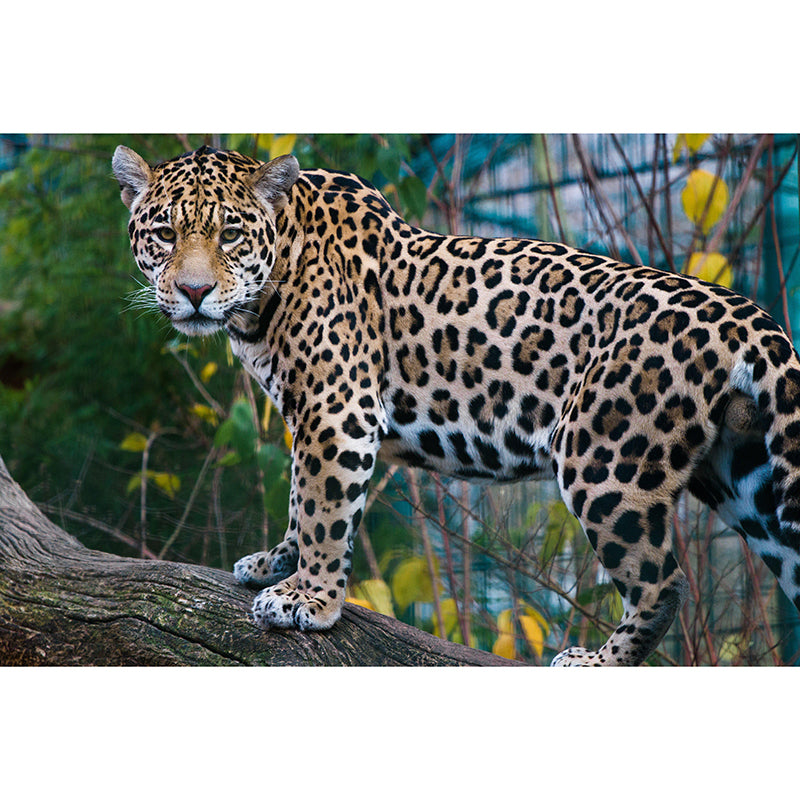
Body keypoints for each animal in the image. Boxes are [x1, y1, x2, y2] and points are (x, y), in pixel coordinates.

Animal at [112, 143, 800, 666]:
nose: (193, 292)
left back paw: (597, 661)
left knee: (664, 584)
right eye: (164, 233)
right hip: (749, 483)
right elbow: (300, 504)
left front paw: (308, 599)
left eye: (230, 234)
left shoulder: (337, 411)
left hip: (605, 464)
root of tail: (750, 318)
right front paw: (275, 563)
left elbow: (322, 509)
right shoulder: (314, 416)